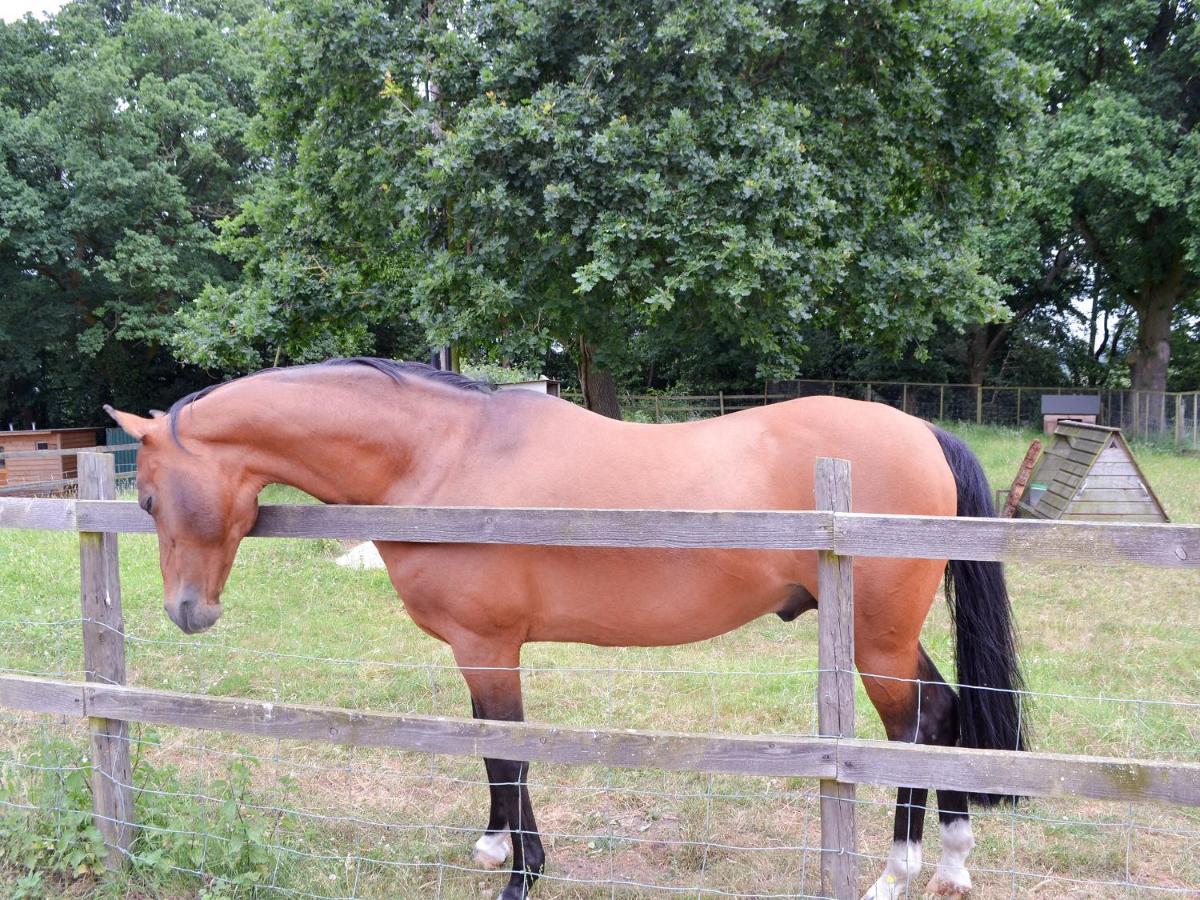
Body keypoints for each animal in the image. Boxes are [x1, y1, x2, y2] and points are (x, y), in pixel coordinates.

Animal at [105, 360, 1022, 900]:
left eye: (148, 496)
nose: (187, 612)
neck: (444, 455)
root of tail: (922, 430)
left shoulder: (487, 646)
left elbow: (508, 753)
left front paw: (521, 876)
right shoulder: (480, 652)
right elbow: (489, 745)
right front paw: (496, 849)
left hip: (875, 641)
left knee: (911, 728)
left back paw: (896, 874)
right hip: (885, 637)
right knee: (945, 713)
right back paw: (952, 860)